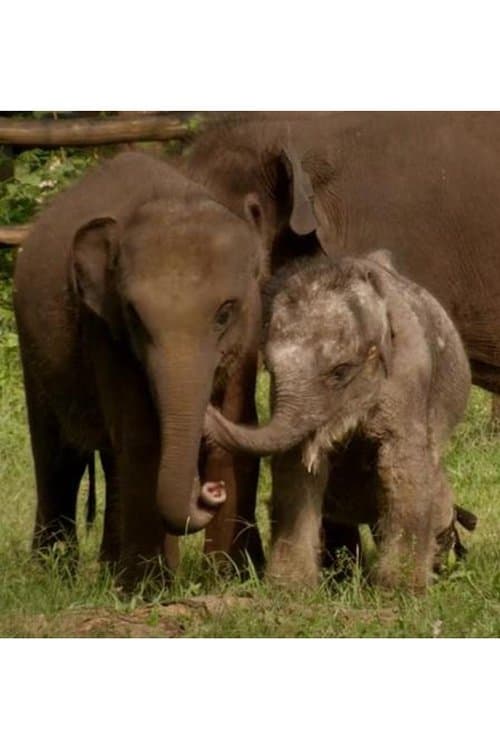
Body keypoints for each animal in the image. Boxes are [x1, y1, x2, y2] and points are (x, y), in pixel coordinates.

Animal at [13, 150, 319, 586]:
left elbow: (234, 429)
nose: (209, 492)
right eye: (136, 317)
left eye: (224, 313)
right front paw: (151, 587)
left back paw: (108, 571)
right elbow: (142, 438)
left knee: (105, 459)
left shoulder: (248, 330)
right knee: (58, 457)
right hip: (32, 346)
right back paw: (54, 576)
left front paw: (228, 577)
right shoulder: (106, 331)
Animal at [205, 250, 472, 591]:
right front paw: (289, 588)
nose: (208, 405)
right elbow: (297, 467)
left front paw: (399, 590)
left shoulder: (409, 376)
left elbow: (400, 464)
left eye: (340, 371)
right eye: (270, 370)